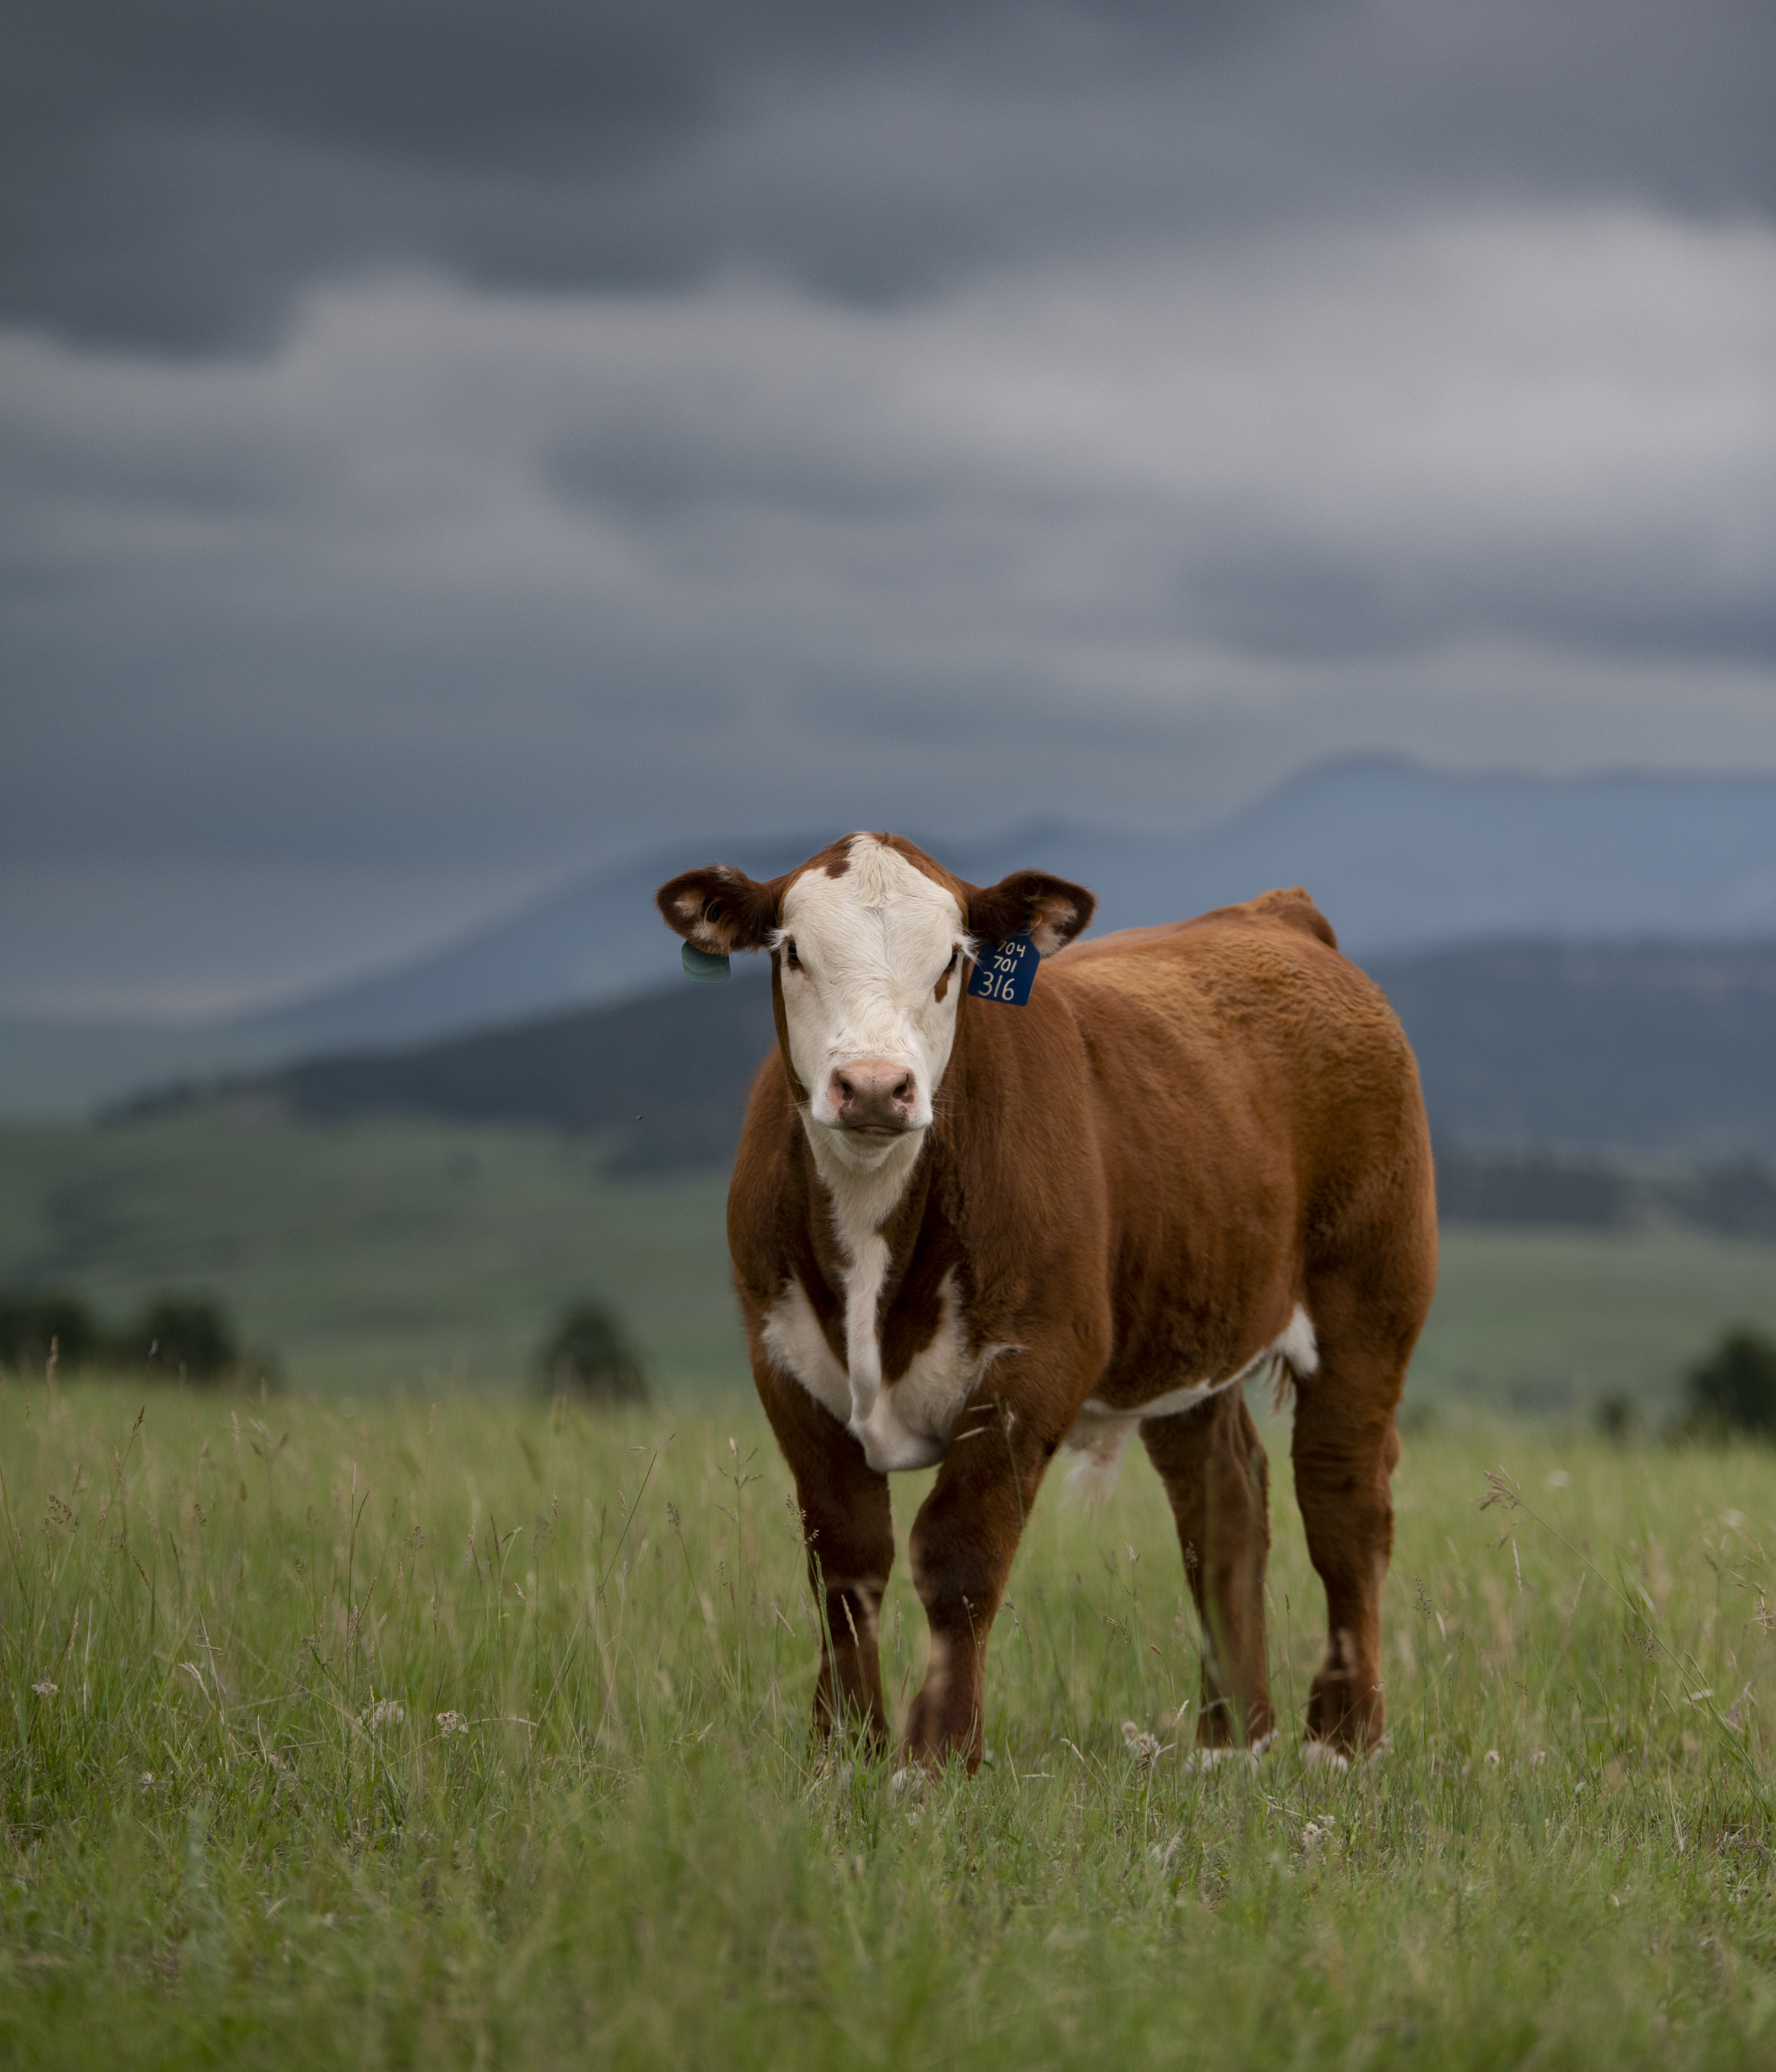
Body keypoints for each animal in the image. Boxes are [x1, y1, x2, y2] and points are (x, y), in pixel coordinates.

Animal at [655, 833, 1437, 1772]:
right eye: (794, 952)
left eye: (953, 962)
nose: (876, 1086)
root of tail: (1275, 915)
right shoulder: (784, 1359)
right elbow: (845, 1557)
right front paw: (844, 1745)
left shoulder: (1037, 1360)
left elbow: (958, 1553)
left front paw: (937, 1757)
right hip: (1188, 1317)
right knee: (1223, 1506)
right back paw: (1230, 1743)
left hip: (1370, 1300)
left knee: (1342, 1503)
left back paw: (1343, 1740)